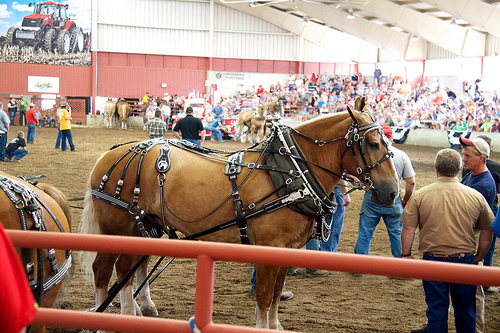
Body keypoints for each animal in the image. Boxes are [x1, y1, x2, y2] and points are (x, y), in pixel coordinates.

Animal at [80, 96, 396, 330]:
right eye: (372, 144)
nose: (392, 192)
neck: (291, 174)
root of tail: (110, 155)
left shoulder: (288, 250)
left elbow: (276, 297)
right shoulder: (270, 248)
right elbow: (265, 298)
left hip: (144, 226)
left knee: (128, 269)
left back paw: (135, 311)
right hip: (116, 228)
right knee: (104, 270)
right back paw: (104, 317)